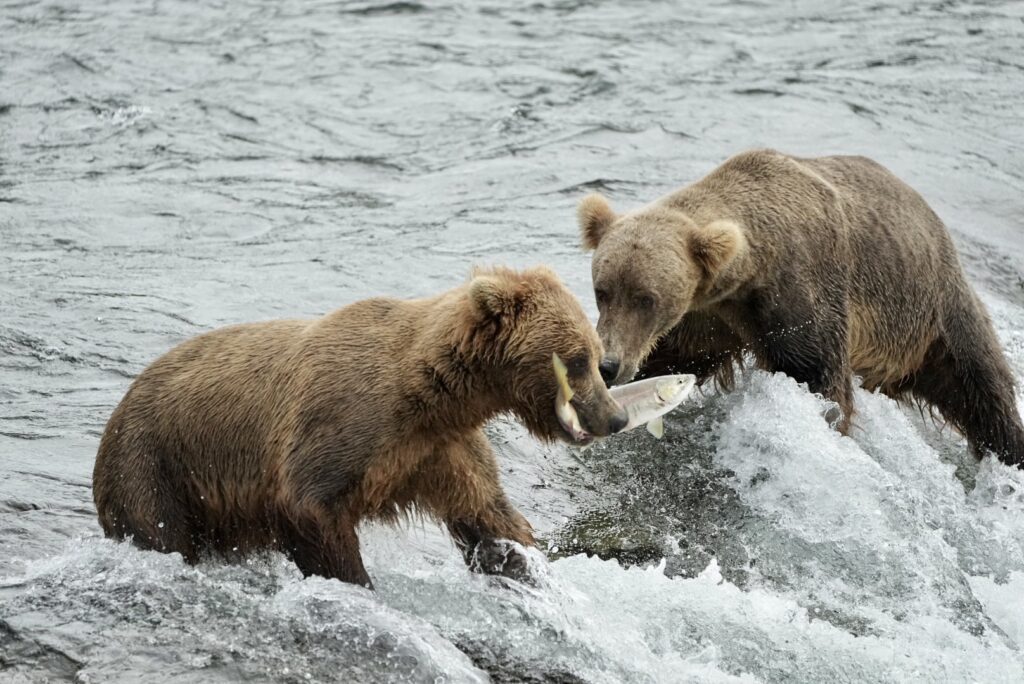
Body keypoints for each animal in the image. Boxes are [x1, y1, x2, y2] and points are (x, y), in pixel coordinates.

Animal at [92, 266, 626, 589]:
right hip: (155, 463)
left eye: (597, 357)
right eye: (578, 359)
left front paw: (520, 560)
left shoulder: (440, 450)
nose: (616, 417)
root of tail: (119, 406)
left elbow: (487, 510)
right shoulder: (344, 423)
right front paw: (356, 580)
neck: (432, 398)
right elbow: (309, 503)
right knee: (157, 528)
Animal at [577, 148, 1024, 466]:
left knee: (983, 388)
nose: (609, 364)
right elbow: (673, 358)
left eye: (646, 298)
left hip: (934, 311)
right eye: (603, 290)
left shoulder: (802, 295)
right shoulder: (709, 318)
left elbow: (818, 378)